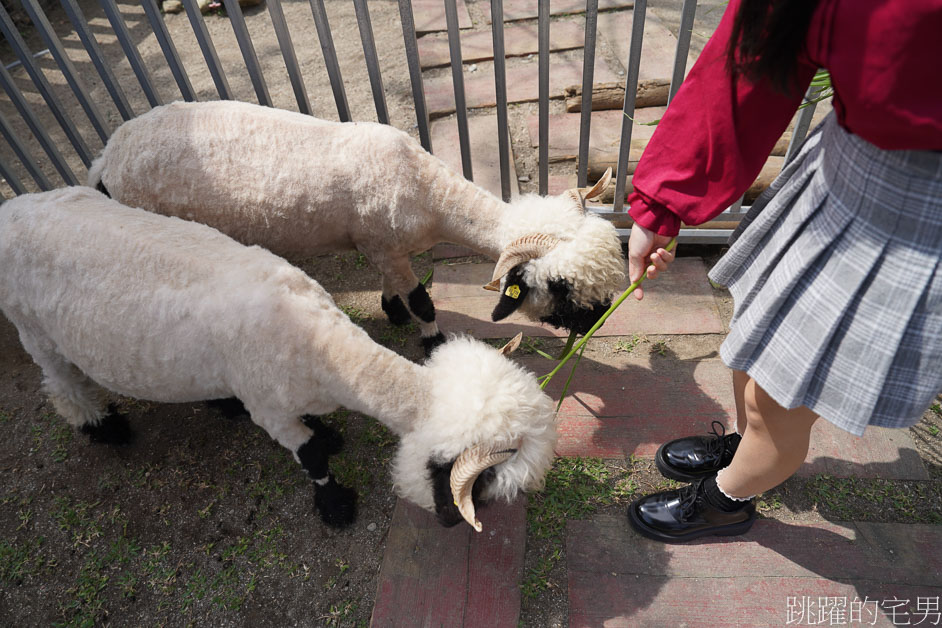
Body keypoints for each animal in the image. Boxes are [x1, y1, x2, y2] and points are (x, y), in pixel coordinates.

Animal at [0, 186, 556, 528]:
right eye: (485, 482)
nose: (454, 520)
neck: (321, 347)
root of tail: (14, 208)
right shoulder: (268, 407)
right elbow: (308, 455)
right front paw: (335, 504)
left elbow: (315, 431)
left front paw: (328, 433)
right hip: (33, 328)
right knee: (61, 382)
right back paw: (103, 427)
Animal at [88, 98, 628, 354]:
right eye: (559, 287)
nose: (596, 323)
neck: (431, 195)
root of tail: (107, 158)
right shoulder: (384, 244)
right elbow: (422, 300)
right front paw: (431, 340)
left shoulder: (382, 244)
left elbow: (394, 286)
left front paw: (391, 313)